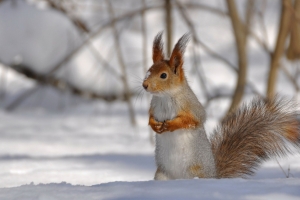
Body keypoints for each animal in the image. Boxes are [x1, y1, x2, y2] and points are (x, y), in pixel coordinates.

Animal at [142, 32, 300, 180]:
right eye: (149, 70)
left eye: (163, 75)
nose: (145, 85)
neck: (165, 97)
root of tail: (214, 176)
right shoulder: (154, 106)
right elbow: (150, 117)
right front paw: (154, 125)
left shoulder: (192, 106)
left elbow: (193, 120)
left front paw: (170, 125)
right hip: (162, 175)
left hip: (196, 172)